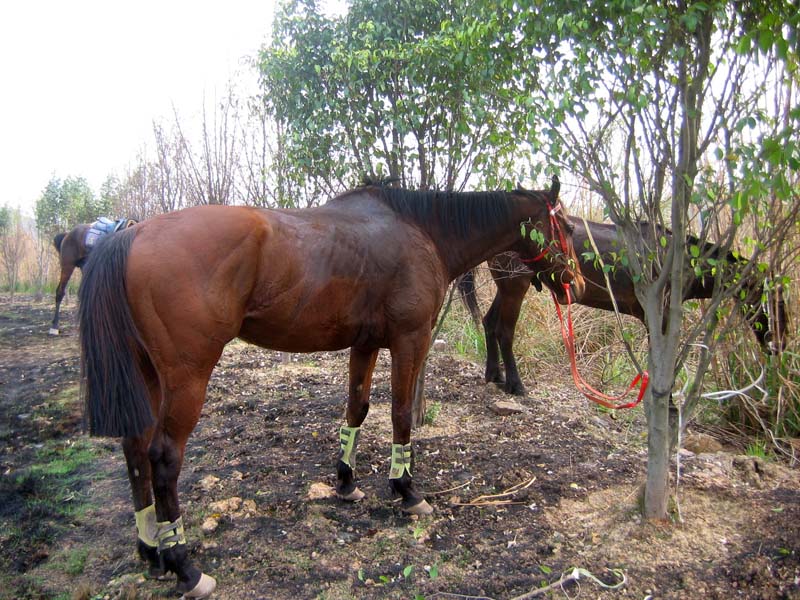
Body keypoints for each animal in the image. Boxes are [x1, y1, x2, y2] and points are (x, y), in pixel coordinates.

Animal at [78, 177, 584, 596]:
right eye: (565, 227)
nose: (576, 282)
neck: (422, 230)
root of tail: (132, 234)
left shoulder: (366, 343)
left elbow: (356, 409)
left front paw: (346, 483)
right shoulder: (409, 340)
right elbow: (401, 412)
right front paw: (406, 490)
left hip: (146, 374)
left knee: (135, 448)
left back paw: (150, 549)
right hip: (187, 376)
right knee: (163, 458)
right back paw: (184, 565)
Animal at [460, 218, 792, 396]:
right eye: (775, 301)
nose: (780, 344)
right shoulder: (658, 317)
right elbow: (660, 365)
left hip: (507, 285)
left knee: (489, 323)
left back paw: (494, 375)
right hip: (515, 284)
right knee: (504, 330)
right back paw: (515, 384)